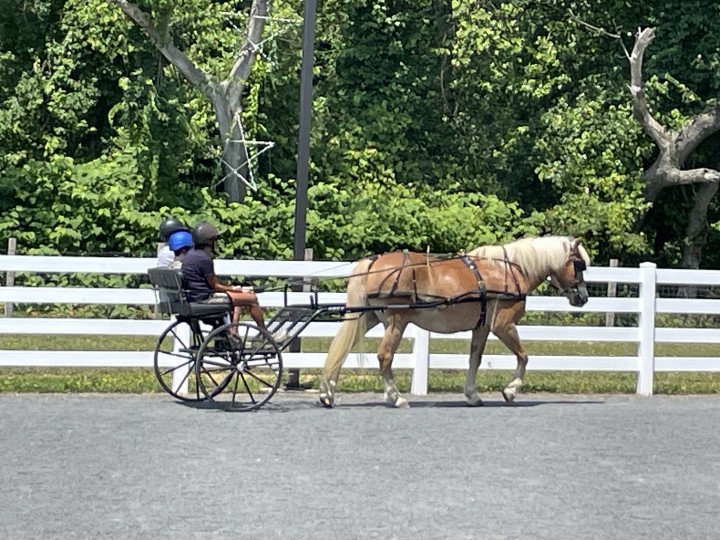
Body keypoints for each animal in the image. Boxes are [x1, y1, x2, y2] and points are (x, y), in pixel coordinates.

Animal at [318, 235, 590, 408]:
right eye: (578, 264)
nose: (583, 297)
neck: (510, 270)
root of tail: (373, 262)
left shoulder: (482, 327)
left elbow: (475, 359)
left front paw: (472, 395)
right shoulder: (503, 325)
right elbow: (523, 356)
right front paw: (510, 391)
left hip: (369, 317)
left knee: (342, 349)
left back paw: (327, 393)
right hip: (396, 322)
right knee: (384, 356)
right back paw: (396, 397)